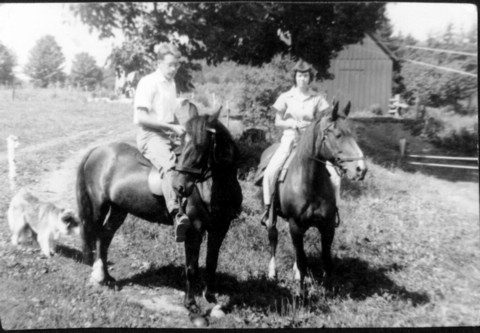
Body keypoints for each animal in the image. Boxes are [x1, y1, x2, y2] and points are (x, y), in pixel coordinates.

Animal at [76, 105, 242, 312]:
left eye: (201, 144)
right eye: (183, 141)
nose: (179, 187)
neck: (210, 188)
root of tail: (97, 150)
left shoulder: (220, 229)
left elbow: (212, 263)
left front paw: (211, 298)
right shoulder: (193, 230)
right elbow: (191, 268)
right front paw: (190, 304)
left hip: (118, 209)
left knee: (105, 236)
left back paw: (107, 278)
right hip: (99, 206)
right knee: (97, 234)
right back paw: (98, 276)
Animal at [256, 100, 366, 294]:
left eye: (354, 133)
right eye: (338, 134)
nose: (361, 169)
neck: (309, 181)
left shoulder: (327, 226)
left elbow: (326, 260)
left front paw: (329, 288)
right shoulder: (295, 224)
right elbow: (302, 260)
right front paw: (301, 293)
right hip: (272, 216)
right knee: (273, 238)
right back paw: (272, 272)